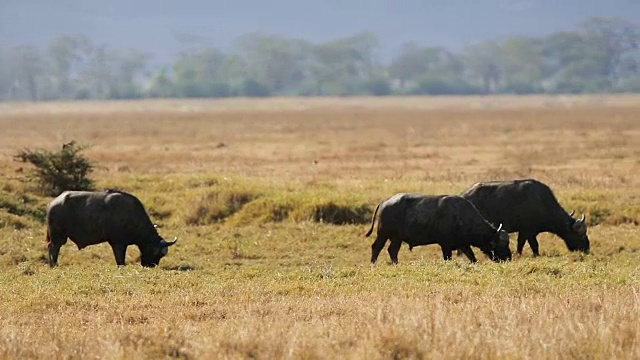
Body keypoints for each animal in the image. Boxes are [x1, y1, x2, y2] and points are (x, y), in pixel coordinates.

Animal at [46, 190, 178, 266]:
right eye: (156, 253)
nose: (150, 265)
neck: (131, 216)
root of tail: (53, 203)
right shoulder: (118, 244)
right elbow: (120, 260)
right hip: (58, 237)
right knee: (54, 248)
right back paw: (55, 265)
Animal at [364, 194, 510, 264]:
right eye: (498, 245)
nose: (508, 257)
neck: (460, 216)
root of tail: (385, 202)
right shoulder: (446, 246)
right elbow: (448, 258)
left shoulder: (463, 244)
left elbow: (472, 257)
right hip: (383, 233)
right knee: (376, 247)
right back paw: (373, 264)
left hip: (397, 238)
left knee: (392, 250)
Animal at [460, 179, 592, 256]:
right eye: (580, 234)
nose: (586, 249)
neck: (542, 204)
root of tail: (465, 195)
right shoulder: (528, 232)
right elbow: (534, 245)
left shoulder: (523, 232)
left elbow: (520, 244)